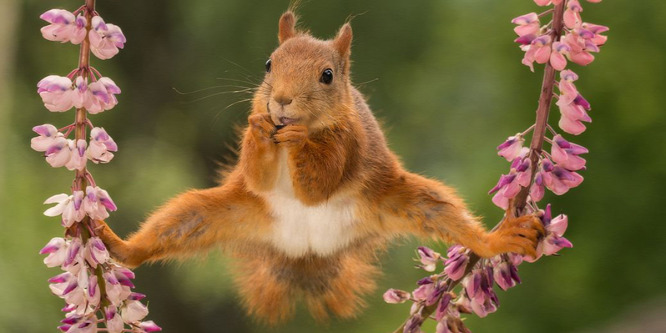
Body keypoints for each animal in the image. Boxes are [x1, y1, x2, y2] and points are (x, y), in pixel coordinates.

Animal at [96, 11, 544, 322]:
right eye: (268, 64)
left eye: (327, 75)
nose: (280, 101)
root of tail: (306, 252)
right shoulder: (256, 173)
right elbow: (258, 176)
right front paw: (260, 128)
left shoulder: (349, 144)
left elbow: (319, 185)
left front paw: (297, 140)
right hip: (217, 212)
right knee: (168, 230)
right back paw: (116, 243)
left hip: (405, 199)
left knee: (450, 218)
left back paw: (499, 239)